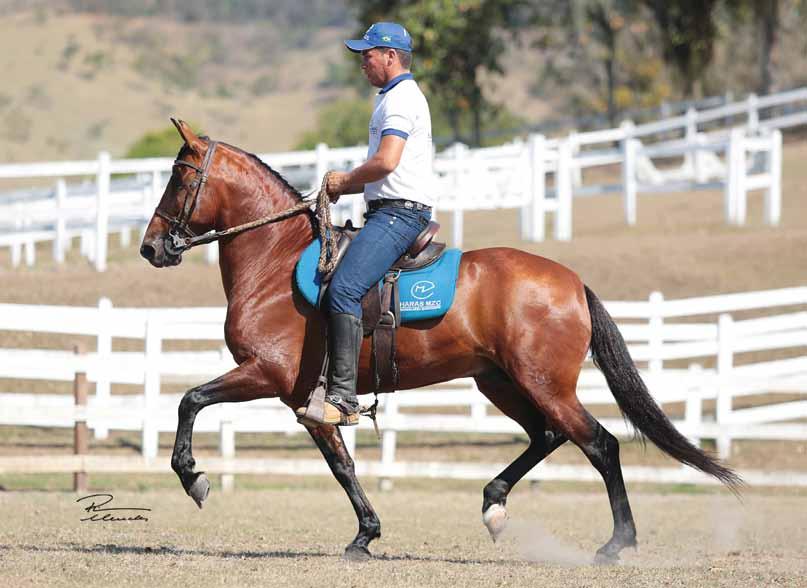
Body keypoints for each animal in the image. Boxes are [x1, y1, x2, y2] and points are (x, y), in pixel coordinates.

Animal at [137, 120, 740, 564]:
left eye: (179, 178)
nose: (150, 248)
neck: (276, 262)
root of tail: (571, 282)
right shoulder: (304, 400)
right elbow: (341, 465)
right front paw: (366, 535)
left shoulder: (266, 374)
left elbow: (189, 400)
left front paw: (193, 477)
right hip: (500, 382)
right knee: (547, 436)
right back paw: (494, 505)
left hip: (544, 384)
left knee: (600, 444)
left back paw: (616, 543)